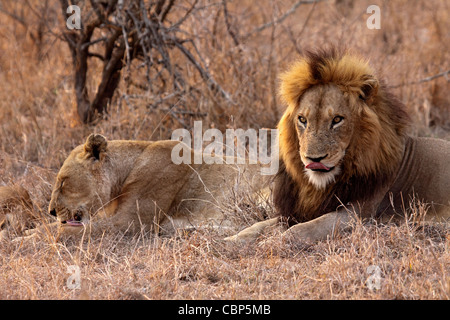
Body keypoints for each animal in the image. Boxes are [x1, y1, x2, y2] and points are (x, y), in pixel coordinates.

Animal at [12, 132, 266, 240]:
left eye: (63, 181)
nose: (51, 211)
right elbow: (55, 227)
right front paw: (25, 232)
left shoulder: (129, 223)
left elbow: (67, 230)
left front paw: (20, 240)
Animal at [227, 47, 450, 242]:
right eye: (302, 120)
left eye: (337, 120)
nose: (314, 159)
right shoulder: (299, 211)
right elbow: (259, 225)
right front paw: (231, 240)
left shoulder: (359, 214)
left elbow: (305, 229)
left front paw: (274, 243)